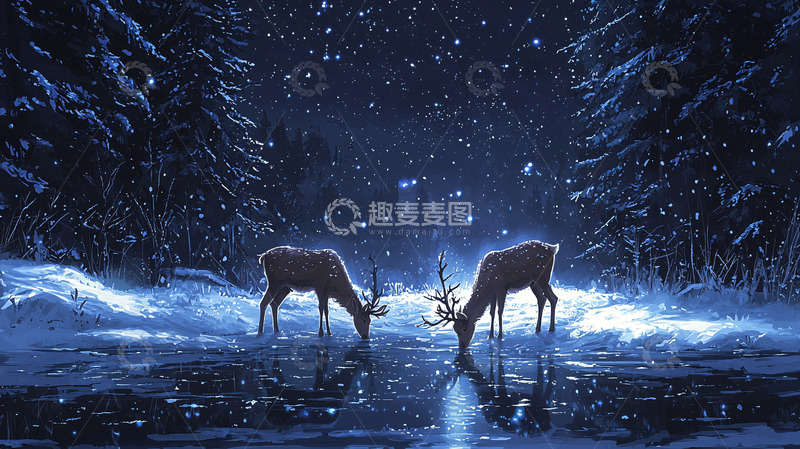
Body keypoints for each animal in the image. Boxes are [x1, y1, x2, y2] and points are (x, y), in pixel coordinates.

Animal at [257, 247, 389, 338]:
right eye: (363, 319)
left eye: (371, 320)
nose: (366, 337)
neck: (335, 280)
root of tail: (263, 256)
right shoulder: (319, 287)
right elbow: (321, 309)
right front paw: (320, 333)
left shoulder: (327, 292)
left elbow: (326, 310)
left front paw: (329, 333)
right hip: (274, 281)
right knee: (263, 302)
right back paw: (260, 331)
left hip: (285, 287)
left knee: (274, 303)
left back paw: (276, 330)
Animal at [419, 240, 560, 348]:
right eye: (454, 329)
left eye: (464, 328)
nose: (462, 346)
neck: (485, 282)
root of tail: (553, 248)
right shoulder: (492, 293)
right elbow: (491, 313)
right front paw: (490, 336)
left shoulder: (501, 288)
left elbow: (500, 311)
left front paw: (499, 336)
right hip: (533, 283)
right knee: (542, 299)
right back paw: (538, 329)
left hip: (543, 277)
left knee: (553, 298)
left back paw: (551, 329)